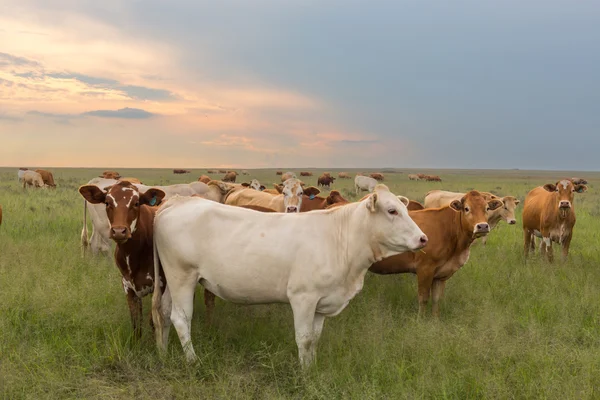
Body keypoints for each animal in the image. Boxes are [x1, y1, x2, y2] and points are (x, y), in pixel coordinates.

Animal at [78, 181, 166, 340]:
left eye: (136, 203)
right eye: (107, 202)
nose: (119, 231)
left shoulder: (160, 285)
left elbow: (153, 321)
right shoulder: (127, 286)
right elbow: (136, 323)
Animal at [152, 184, 428, 366]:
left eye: (404, 209)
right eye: (392, 211)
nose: (423, 238)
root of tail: (177, 201)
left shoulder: (322, 302)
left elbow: (315, 339)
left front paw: (312, 368)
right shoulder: (303, 297)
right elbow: (304, 339)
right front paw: (305, 375)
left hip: (169, 280)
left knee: (163, 312)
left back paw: (162, 353)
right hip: (182, 276)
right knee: (180, 318)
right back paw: (193, 361)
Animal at [370, 192, 502, 318]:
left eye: (487, 208)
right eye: (466, 208)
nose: (482, 226)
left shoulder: (441, 274)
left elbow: (437, 299)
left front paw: (435, 320)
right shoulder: (425, 269)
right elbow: (423, 298)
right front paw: (420, 321)